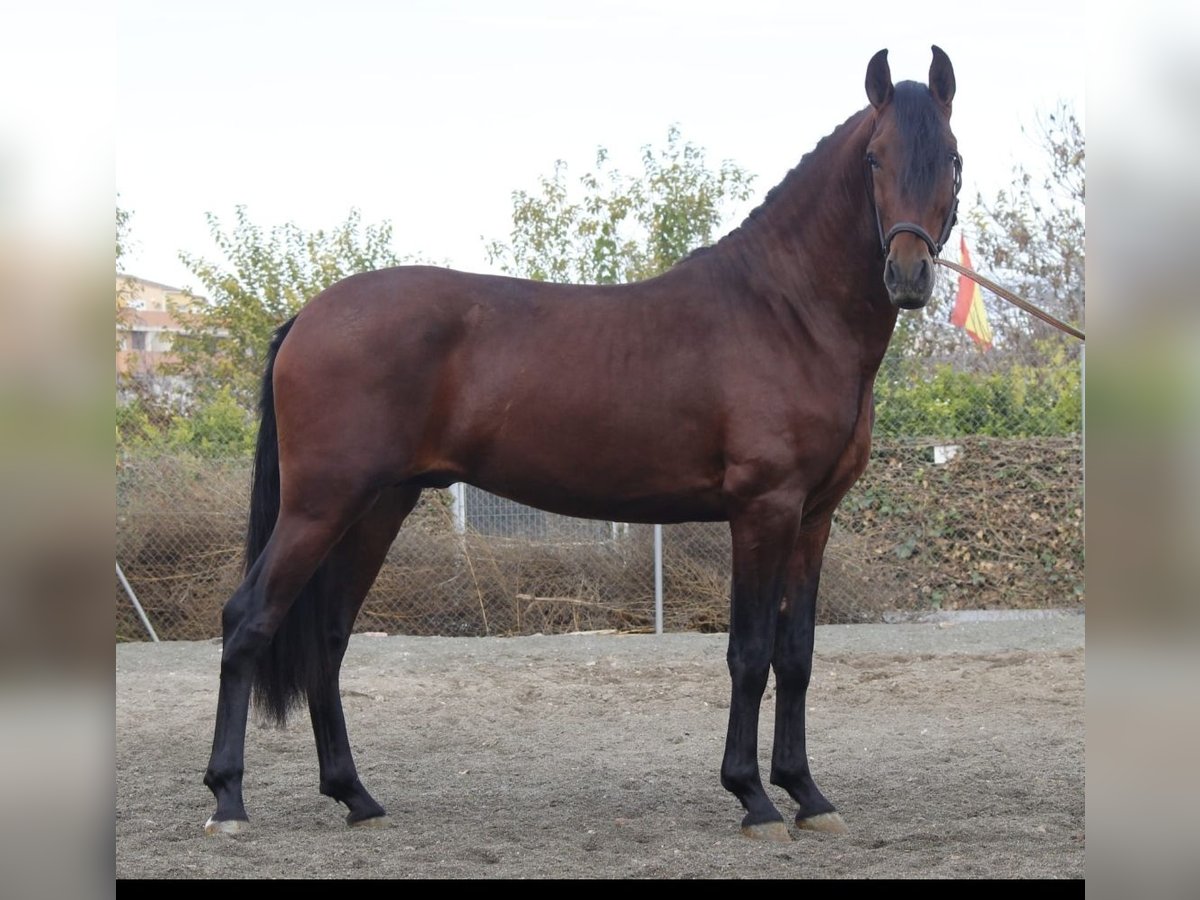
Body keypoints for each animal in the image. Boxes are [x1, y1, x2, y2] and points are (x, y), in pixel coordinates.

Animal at [203, 45, 962, 842]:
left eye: (952, 157)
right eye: (875, 158)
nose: (908, 276)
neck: (785, 311)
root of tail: (306, 318)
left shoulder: (814, 517)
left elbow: (798, 654)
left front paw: (807, 795)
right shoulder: (764, 509)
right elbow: (750, 653)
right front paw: (753, 797)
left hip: (378, 508)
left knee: (328, 636)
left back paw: (354, 794)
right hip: (320, 506)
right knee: (248, 620)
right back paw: (228, 801)